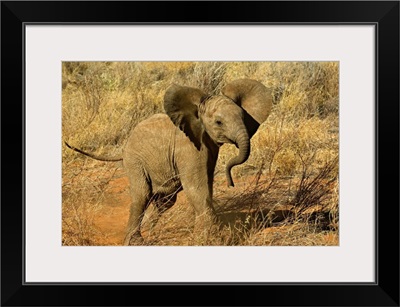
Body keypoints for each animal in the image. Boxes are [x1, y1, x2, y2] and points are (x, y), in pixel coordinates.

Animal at [65, 79, 274, 245]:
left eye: (244, 117)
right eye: (218, 122)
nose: (231, 183)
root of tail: (123, 149)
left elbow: (206, 185)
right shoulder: (188, 147)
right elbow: (196, 188)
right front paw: (208, 240)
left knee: (165, 201)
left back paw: (152, 231)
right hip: (135, 161)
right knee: (142, 195)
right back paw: (136, 241)